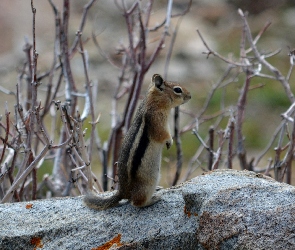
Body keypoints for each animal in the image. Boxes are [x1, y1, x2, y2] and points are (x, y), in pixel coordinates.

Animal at [83, 73, 192, 209]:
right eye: (177, 89)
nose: (190, 96)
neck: (154, 102)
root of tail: (122, 192)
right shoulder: (157, 121)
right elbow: (162, 135)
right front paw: (170, 141)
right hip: (147, 183)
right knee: (136, 202)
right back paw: (154, 198)